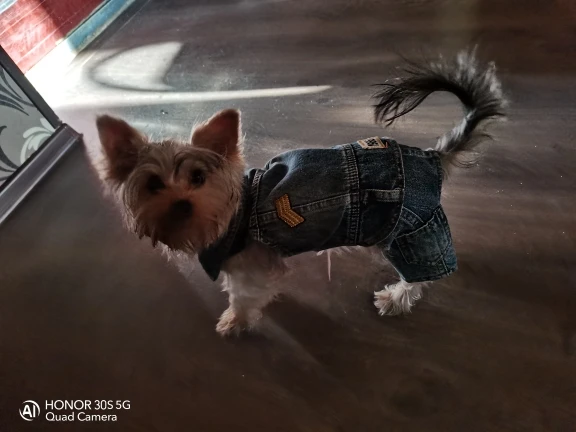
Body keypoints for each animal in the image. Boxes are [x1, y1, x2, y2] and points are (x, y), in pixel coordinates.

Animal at [95, 50, 506, 336]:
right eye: (152, 185)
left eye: (198, 177)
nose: (181, 204)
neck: (231, 214)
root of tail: (432, 157)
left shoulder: (250, 267)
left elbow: (243, 297)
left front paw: (235, 322)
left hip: (411, 230)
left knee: (421, 274)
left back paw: (394, 298)